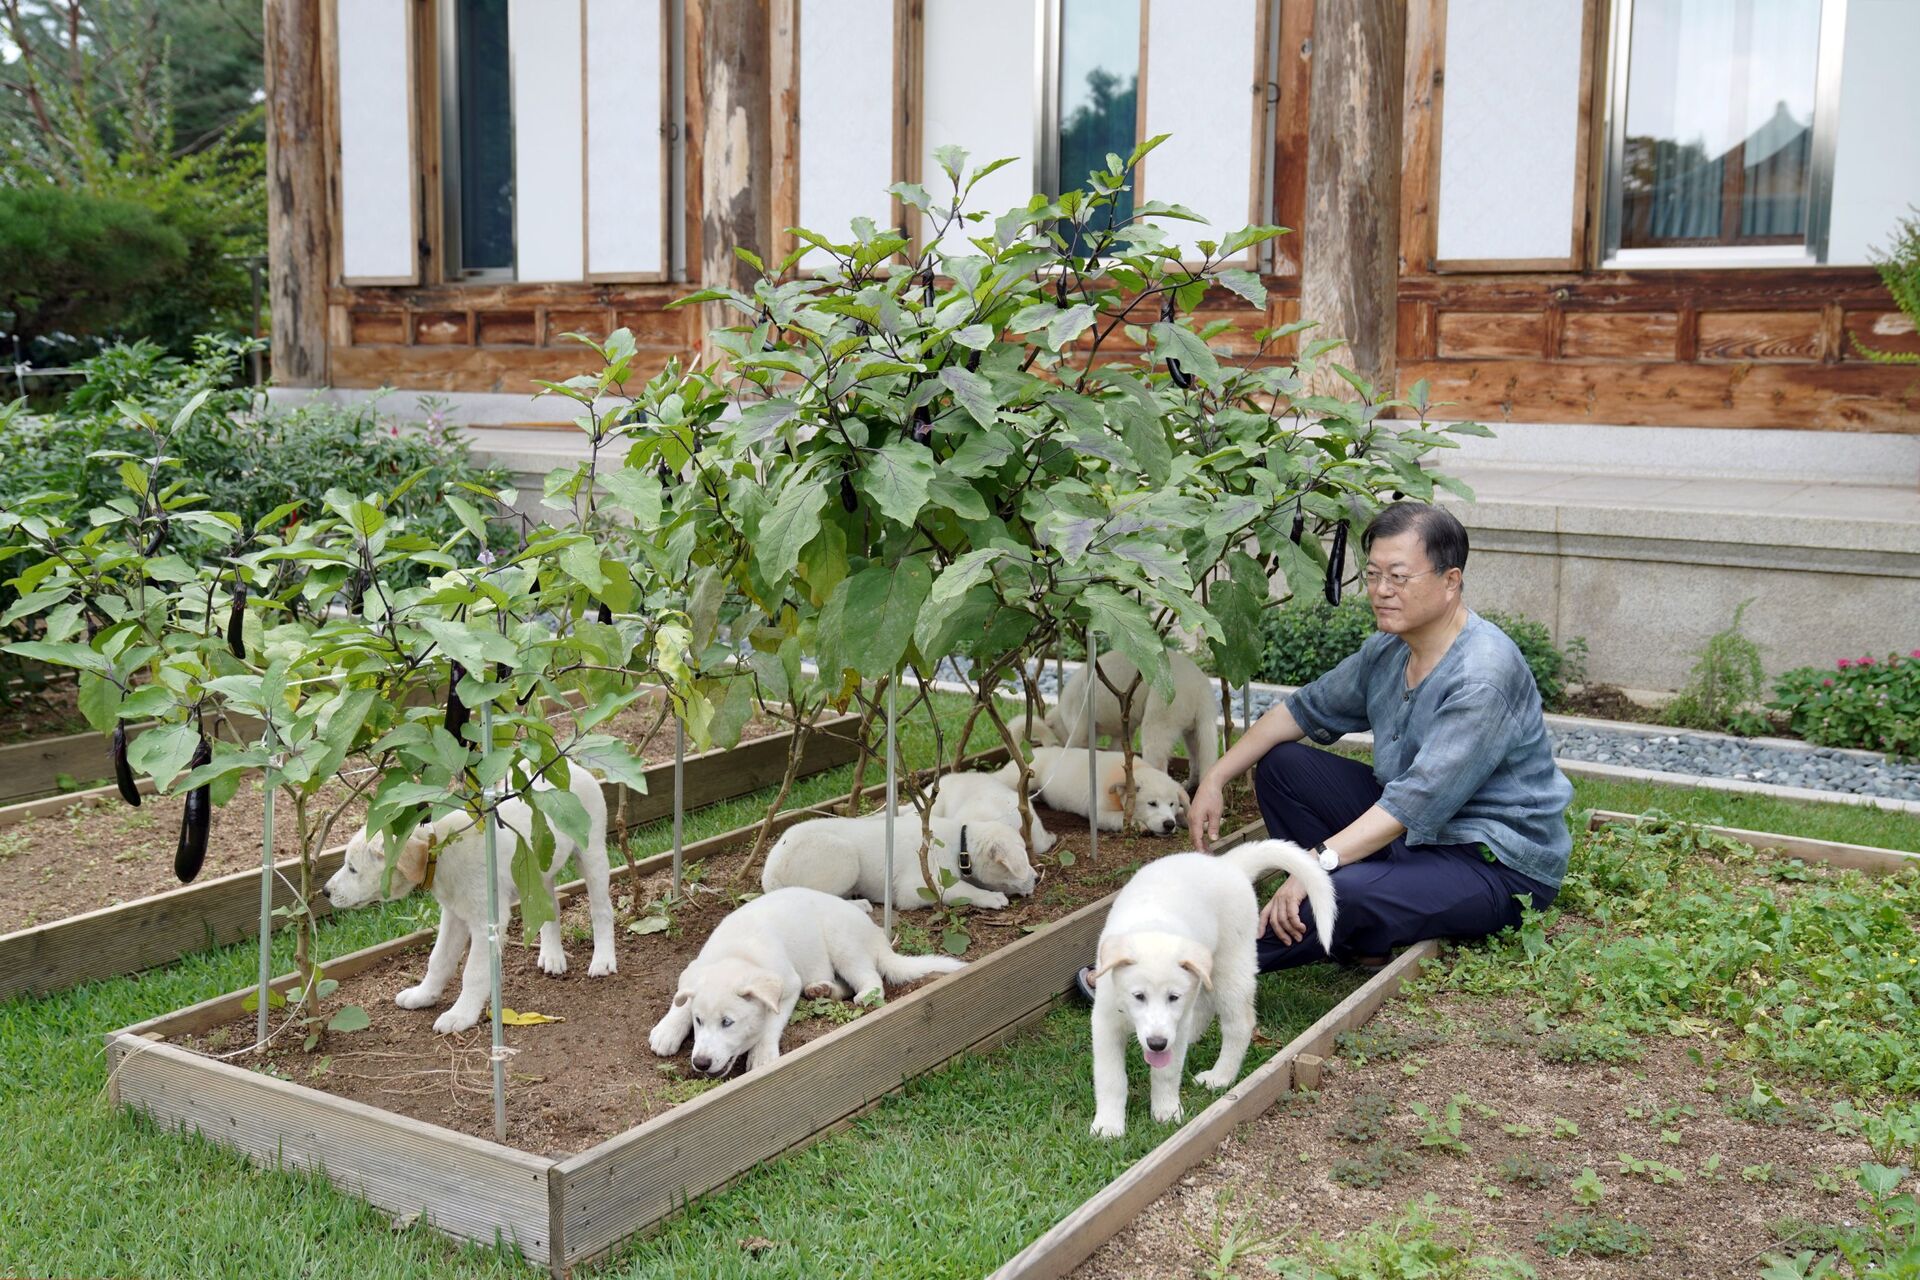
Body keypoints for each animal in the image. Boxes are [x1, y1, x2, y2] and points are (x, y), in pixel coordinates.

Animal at [318, 767, 610, 1036]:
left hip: (592, 853)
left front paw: (460, 1014)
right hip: (537, 873)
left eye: (352, 868)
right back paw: (552, 955)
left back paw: (603, 961)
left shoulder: (486, 922)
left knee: (601, 911)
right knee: (551, 908)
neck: (440, 852)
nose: (325, 891)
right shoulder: (453, 914)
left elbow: (474, 972)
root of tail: (573, 767)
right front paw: (423, 995)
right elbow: (438, 960)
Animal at [652, 890, 967, 1082]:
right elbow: (683, 999)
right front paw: (667, 1030)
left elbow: (771, 1022)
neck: (737, 954)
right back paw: (821, 990)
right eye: (699, 1021)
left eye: (728, 1022)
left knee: (871, 979)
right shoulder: (697, 969)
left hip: (844, 944)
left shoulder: (788, 985)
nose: (701, 1062)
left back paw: (864, 994)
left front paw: (762, 1054)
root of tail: (876, 934)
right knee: (844, 984)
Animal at [998, 744, 1190, 836]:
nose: (1169, 824)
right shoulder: (1100, 813)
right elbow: (1120, 818)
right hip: (1022, 776)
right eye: (1152, 803)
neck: (1132, 770)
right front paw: (1140, 825)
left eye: (1172, 804)